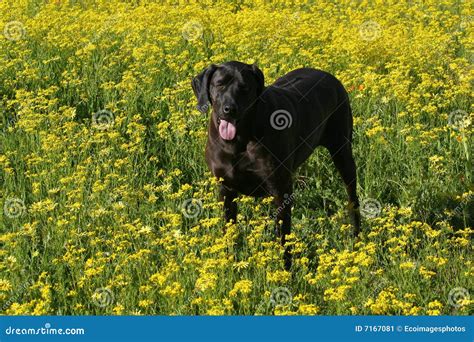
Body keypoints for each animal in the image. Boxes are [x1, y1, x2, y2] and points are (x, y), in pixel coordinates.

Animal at [191, 61, 362, 268]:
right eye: (219, 84)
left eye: (244, 87)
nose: (229, 109)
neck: (239, 140)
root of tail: (328, 75)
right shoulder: (226, 190)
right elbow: (228, 228)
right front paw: (229, 260)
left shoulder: (281, 191)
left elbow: (283, 238)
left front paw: (286, 271)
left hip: (343, 152)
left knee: (353, 197)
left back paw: (356, 237)